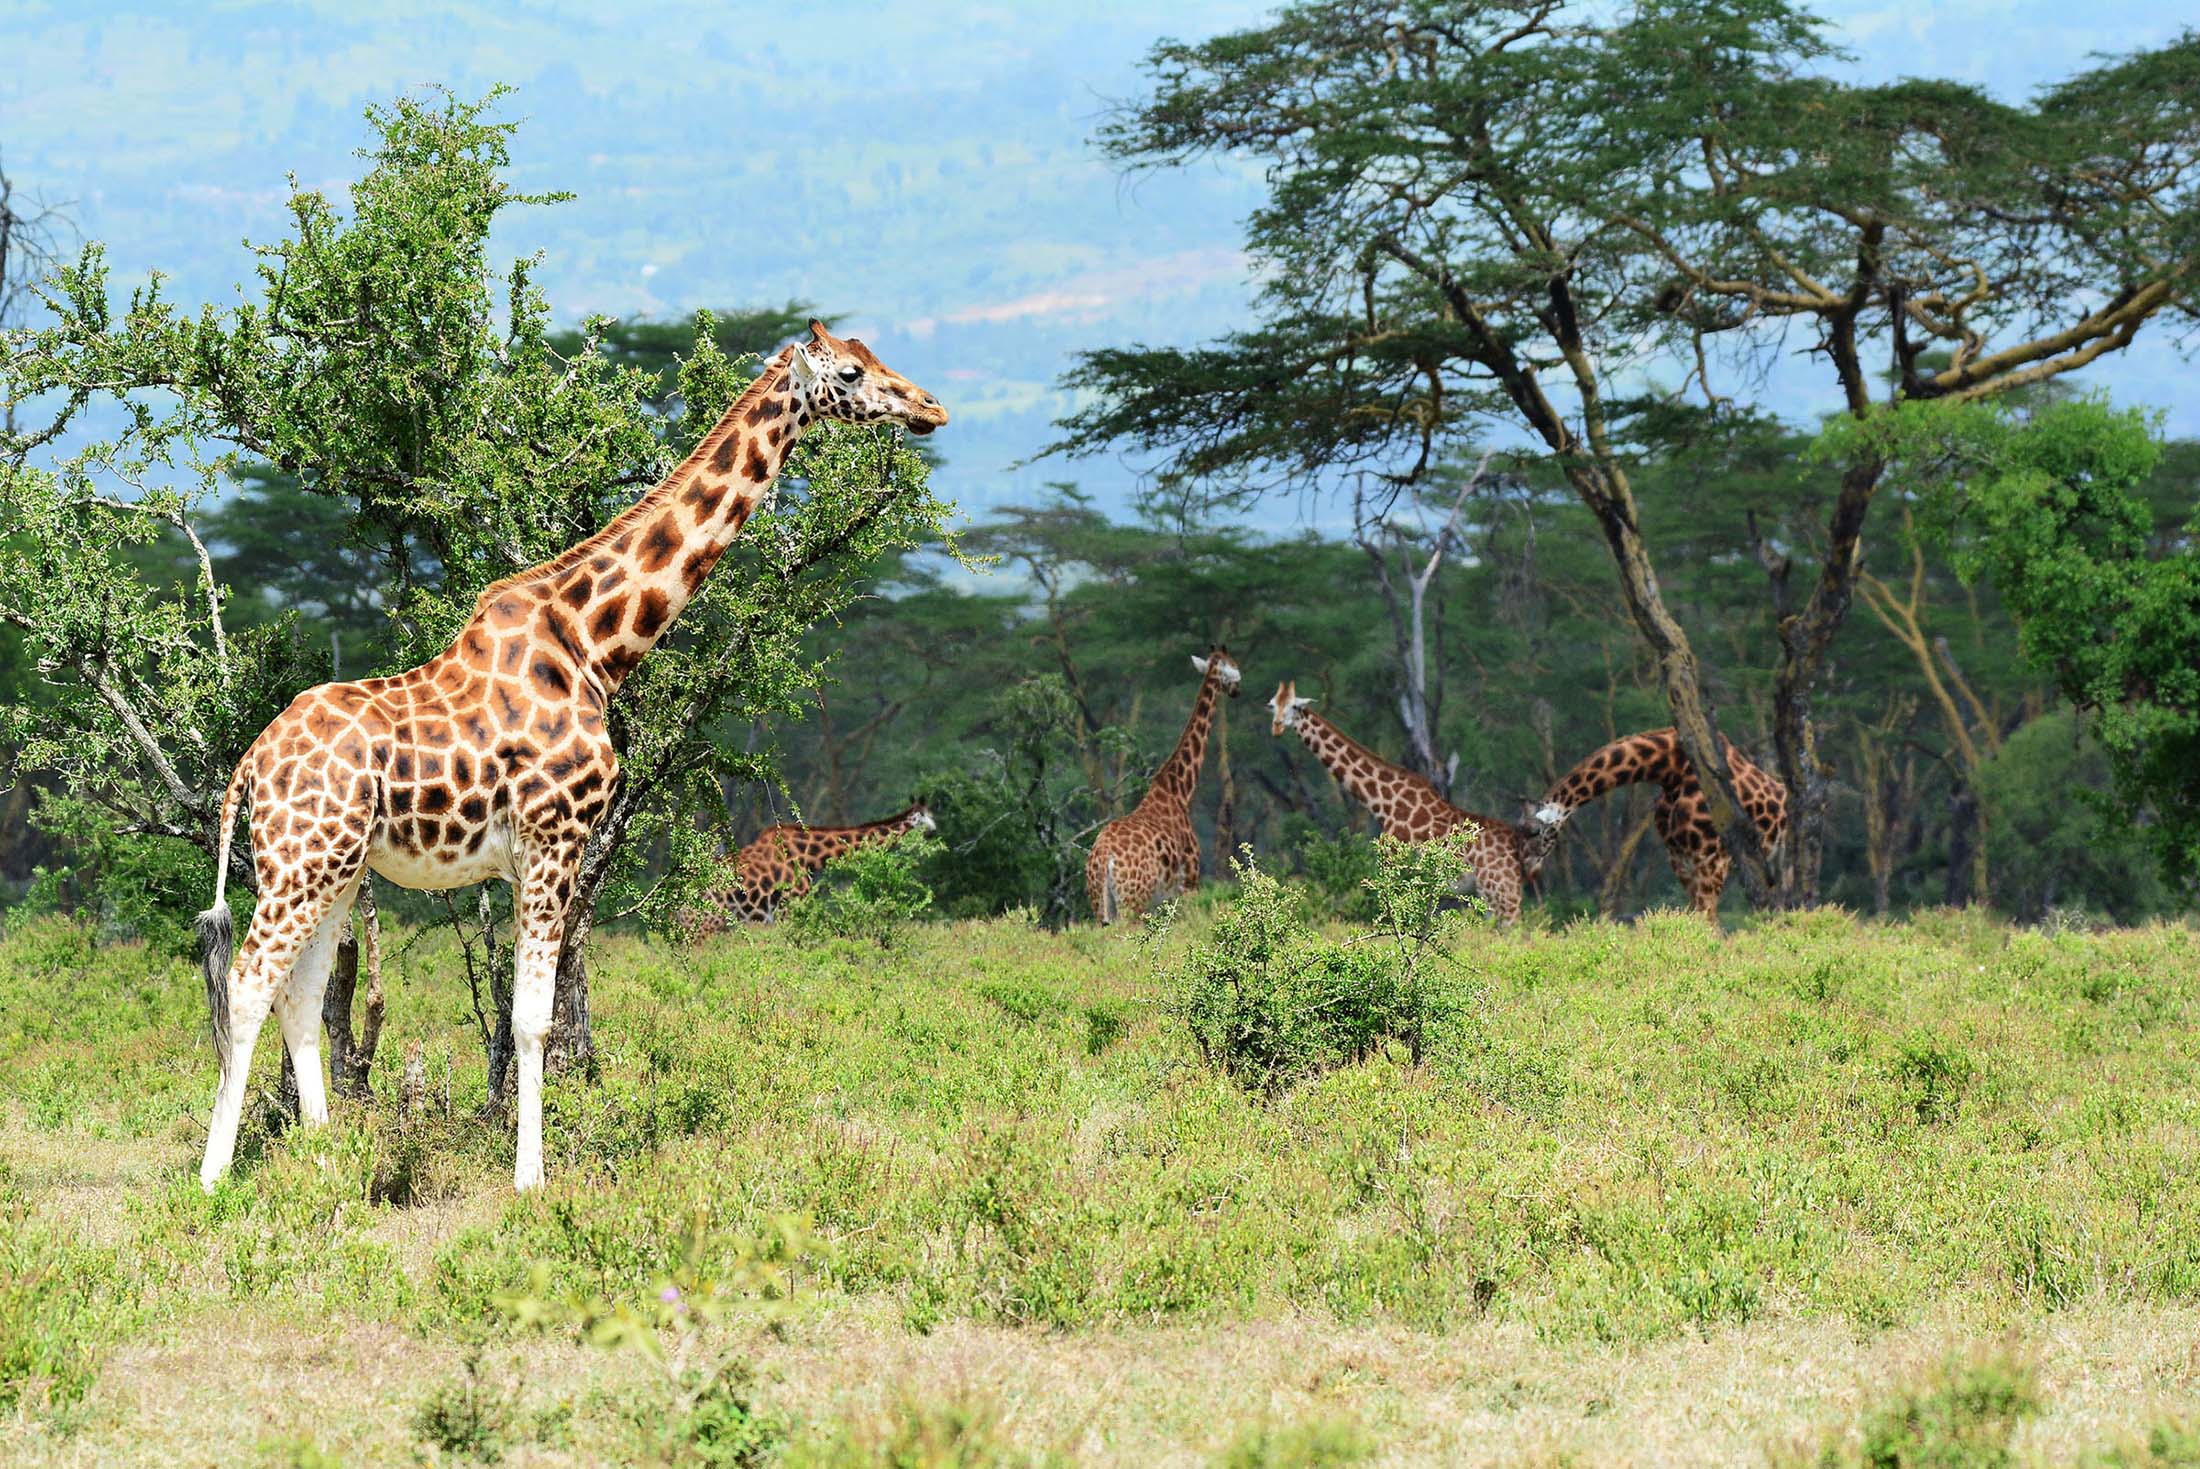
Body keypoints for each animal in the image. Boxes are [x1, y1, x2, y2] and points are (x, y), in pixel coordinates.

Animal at [1086, 647, 1239, 924]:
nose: (1236, 690)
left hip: (1101, 906)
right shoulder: (1189, 883)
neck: (1180, 789)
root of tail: (1103, 858)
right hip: (1132, 903)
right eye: (1233, 667)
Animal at [1268, 681, 1526, 923]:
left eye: (1294, 706)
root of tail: (1515, 844)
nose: (1277, 726)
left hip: (1500, 893)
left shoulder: (1395, 864)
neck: (1383, 801)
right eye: (1272, 705)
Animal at [1518, 727, 1788, 923]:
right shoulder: (1680, 860)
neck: (1671, 771)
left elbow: (1709, 923)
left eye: (1534, 832)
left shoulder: (1711, 860)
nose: (1530, 874)